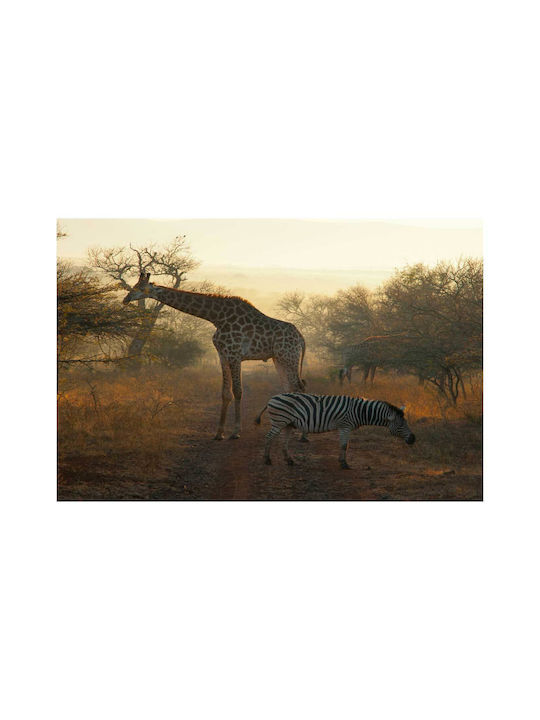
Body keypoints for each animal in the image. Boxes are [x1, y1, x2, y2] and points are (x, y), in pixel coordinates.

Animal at [123, 273, 306, 440]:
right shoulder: (223, 356)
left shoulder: (235, 355)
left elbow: (238, 391)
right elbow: (225, 393)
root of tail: (301, 337)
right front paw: (219, 433)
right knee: (289, 388)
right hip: (279, 359)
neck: (217, 317)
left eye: (140, 288)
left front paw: (236, 432)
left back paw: (301, 434)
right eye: (134, 286)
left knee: (298, 387)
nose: (126, 299)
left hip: (289, 357)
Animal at [255, 392, 415, 469]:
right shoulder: (345, 426)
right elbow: (344, 445)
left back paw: (289, 460)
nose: (413, 439)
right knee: (269, 437)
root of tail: (272, 398)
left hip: (288, 424)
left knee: (284, 442)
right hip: (279, 421)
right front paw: (344, 464)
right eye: (401, 424)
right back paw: (267, 460)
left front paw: (341, 461)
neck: (360, 411)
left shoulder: (345, 427)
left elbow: (345, 445)